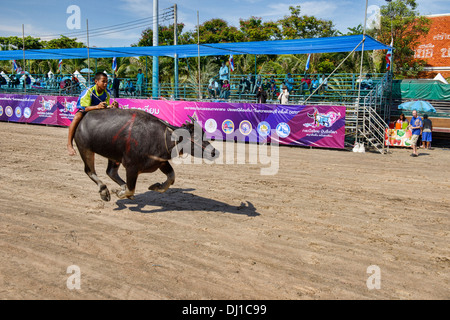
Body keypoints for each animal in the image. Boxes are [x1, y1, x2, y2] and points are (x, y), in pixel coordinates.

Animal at [74, 109, 218, 201]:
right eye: (196, 138)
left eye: (204, 134)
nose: (214, 152)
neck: (160, 137)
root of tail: (82, 117)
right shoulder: (131, 167)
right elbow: (131, 189)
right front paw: (120, 193)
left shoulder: (161, 162)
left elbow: (171, 177)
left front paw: (156, 186)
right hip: (85, 149)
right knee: (90, 171)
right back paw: (105, 191)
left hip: (113, 155)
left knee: (110, 172)